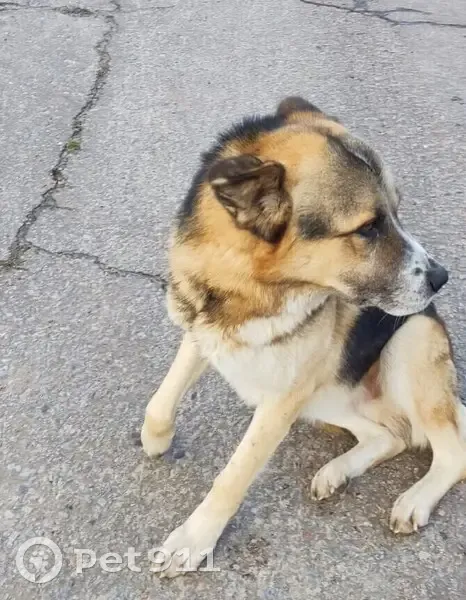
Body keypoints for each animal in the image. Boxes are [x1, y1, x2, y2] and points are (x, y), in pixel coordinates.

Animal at [140, 97, 466, 578]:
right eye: (368, 227)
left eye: (396, 211)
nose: (442, 279)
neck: (253, 288)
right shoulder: (203, 332)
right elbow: (162, 397)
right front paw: (157, 436)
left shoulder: (280, 403)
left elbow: (232, 477)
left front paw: (194, 539)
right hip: (322, 399)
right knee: (390, 437)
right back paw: (339, 471)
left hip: (409, 345)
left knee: (450, 451)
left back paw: (415, 499)